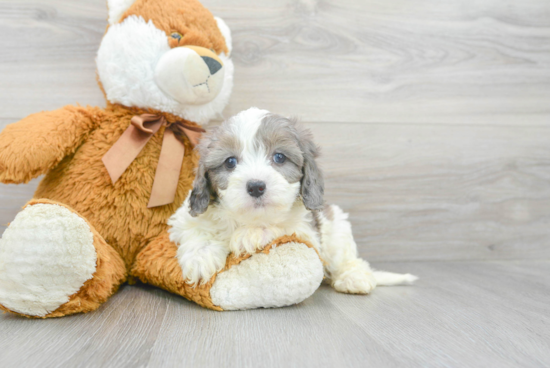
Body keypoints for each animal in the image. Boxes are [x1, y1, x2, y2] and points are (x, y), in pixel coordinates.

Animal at [168, 107, 418, 294]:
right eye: (230, 162)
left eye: (279, 157)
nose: (256, 186)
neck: (247, 218)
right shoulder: (184, 218)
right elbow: (195, 228)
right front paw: (201, 258)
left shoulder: (307, 231)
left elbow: (282, 226)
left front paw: (251, 234)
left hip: (337, 228)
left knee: (347, 259)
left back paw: (354, 277)